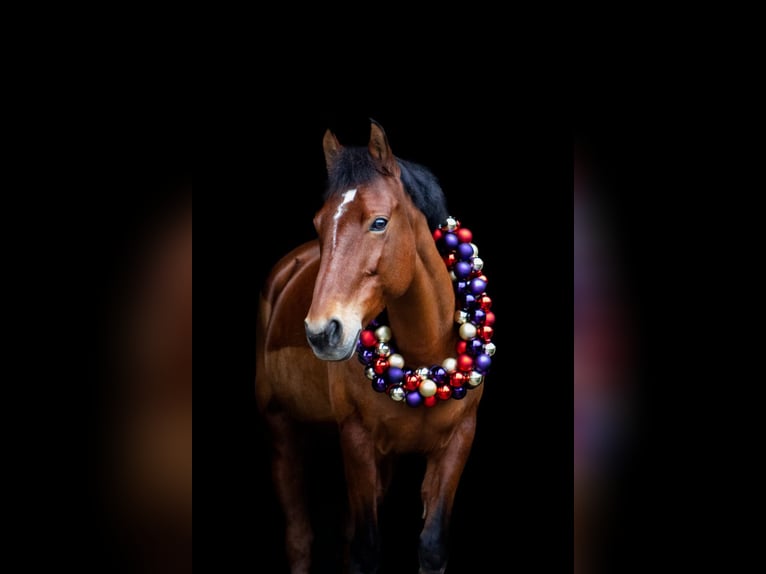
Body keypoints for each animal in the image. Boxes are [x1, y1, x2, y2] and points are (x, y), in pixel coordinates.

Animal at [255, 121, 494, 573]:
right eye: (319, 224)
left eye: (379, 222)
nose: (322, 332)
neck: (425, 360)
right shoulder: (356, 438)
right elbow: (364, 548)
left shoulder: (460, 439)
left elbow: (431, 545)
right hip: (281, 428)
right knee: (299, 538)